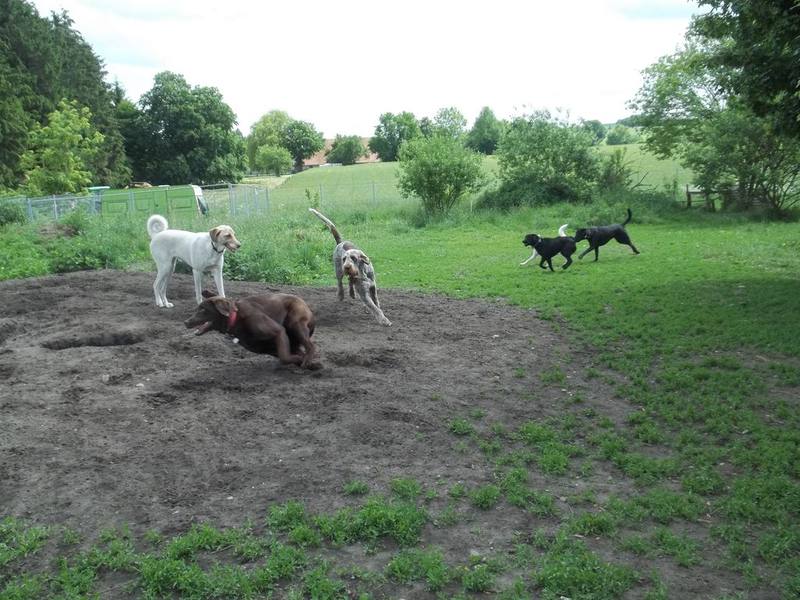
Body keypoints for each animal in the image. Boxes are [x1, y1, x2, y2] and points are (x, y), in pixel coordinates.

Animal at [184, 290, 319, 369]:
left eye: (203, 309)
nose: (186, 322)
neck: (236, 317)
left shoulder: (278, 332)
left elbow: (284, 357)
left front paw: (304, 361)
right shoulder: (269, 348)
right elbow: (287, 356)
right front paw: (307, 363)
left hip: (296, 323)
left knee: (311, 346)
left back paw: (308, 359)